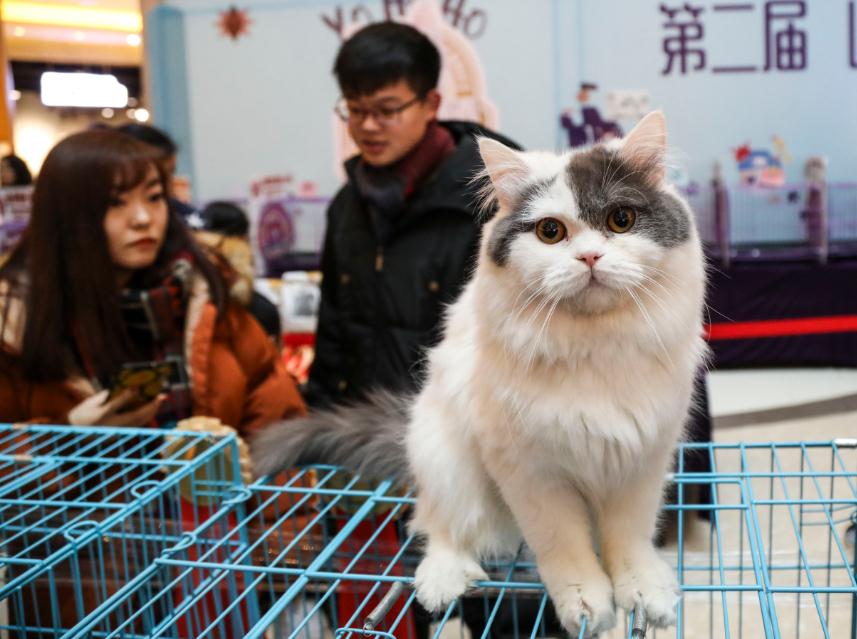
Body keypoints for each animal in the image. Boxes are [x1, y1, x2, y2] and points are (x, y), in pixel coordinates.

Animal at [251, 111, 704, 639]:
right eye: (551, 232)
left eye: (621, 221)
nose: (590, 258)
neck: (594, 349)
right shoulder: (531, 473)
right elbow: (566, 549)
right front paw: (587, 606)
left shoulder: (640, 461)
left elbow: (629, 540)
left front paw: (646, 593)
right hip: (447, 461)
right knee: (439, 527)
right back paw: (442, 580)